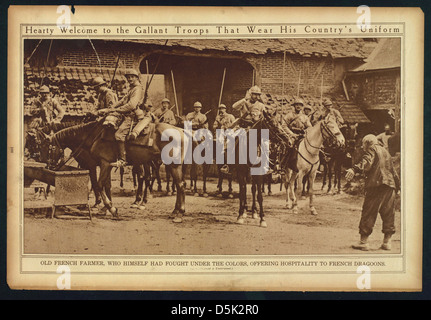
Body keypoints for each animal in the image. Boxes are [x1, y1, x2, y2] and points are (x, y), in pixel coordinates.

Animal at [42, 118, 189, 222]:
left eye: (50, 148)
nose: (50, 166)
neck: (92, 137)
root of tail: (180, 130)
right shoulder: (104, 165)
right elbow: (105, 185)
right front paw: (104, 207)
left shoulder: (102, 164)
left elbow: (98, 184)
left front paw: (110, 208)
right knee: (175, 183)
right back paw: (173, 211)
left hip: (171, 164)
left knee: (178, 184)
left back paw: (178, 213)